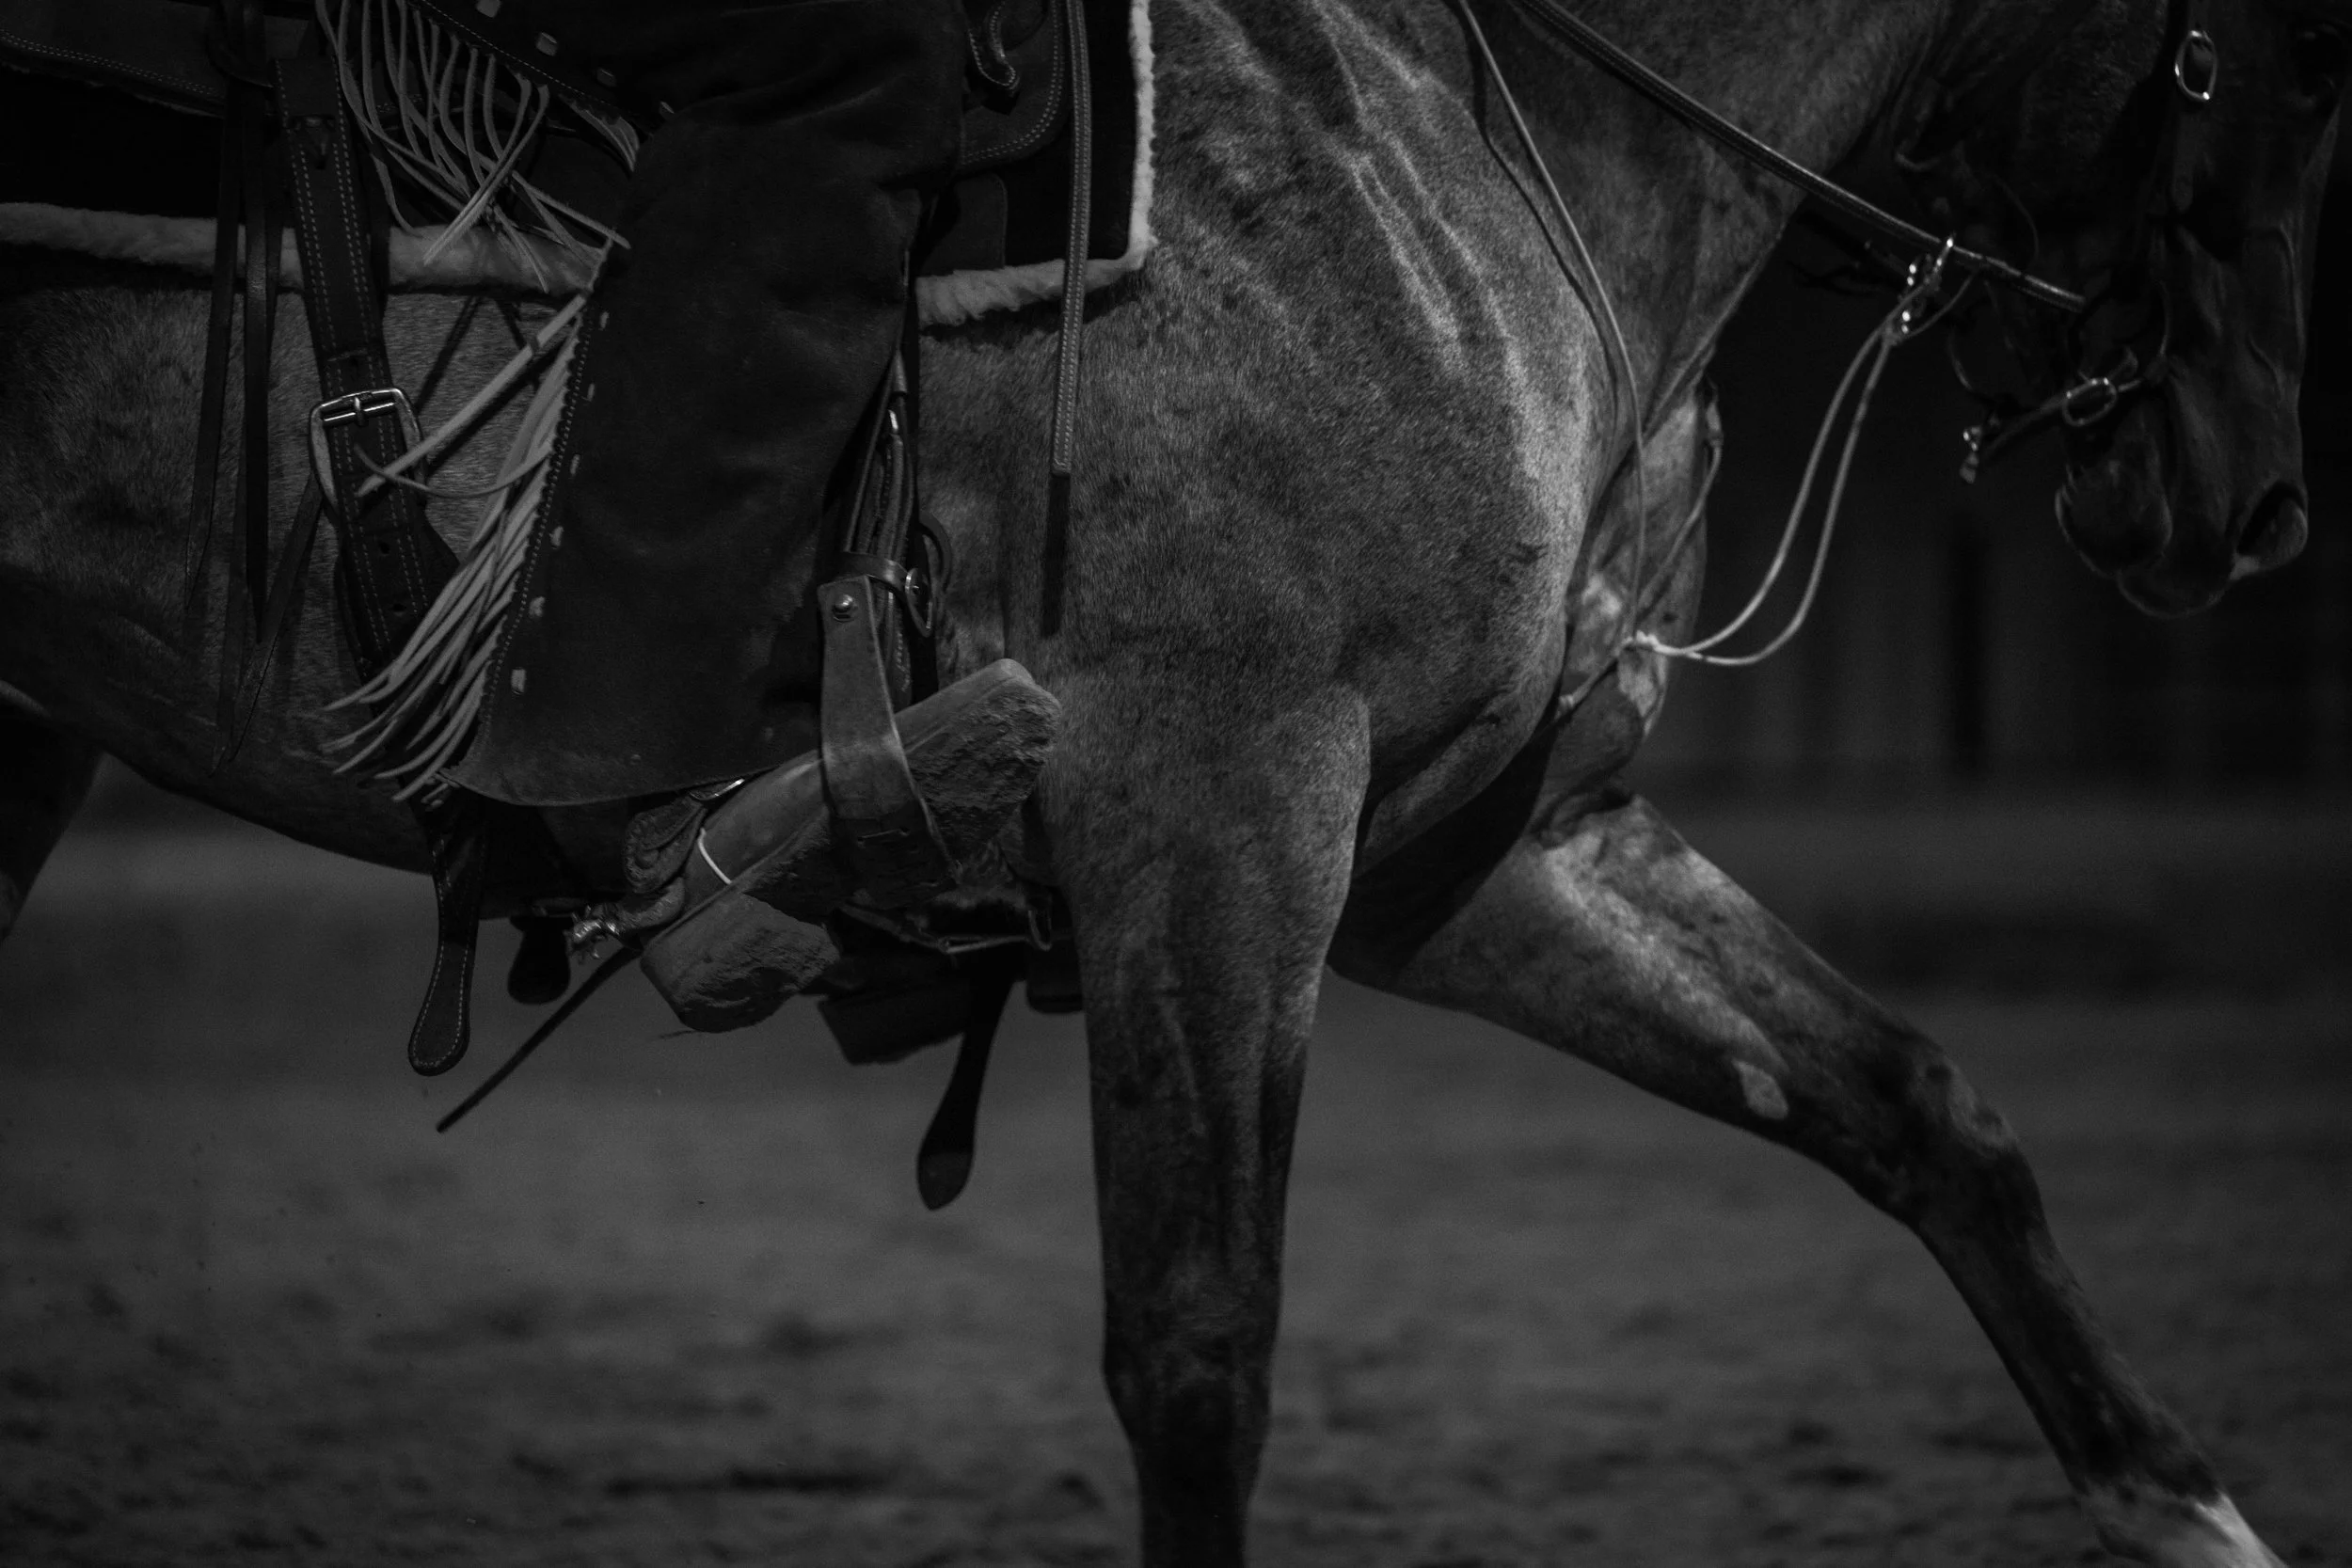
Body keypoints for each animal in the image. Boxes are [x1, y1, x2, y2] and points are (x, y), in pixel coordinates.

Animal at [1, 0, 2339, 1562]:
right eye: (2256, 60)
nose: (2246, 505)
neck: (1466, 154)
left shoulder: (1468, 848)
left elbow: (1915, 1106)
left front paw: (2184, 1506)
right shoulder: (1217, 812)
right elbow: (1198, 1351)